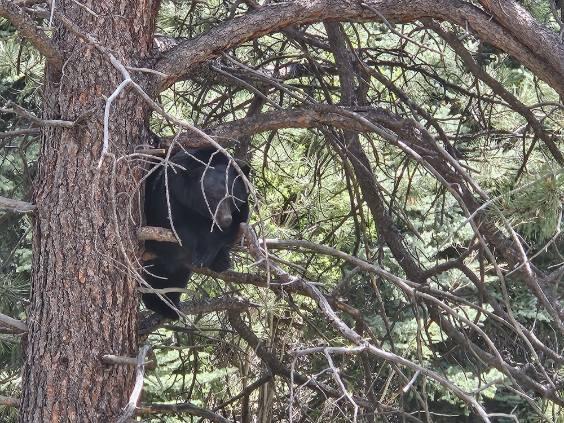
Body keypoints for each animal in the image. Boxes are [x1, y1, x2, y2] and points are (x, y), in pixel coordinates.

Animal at [143, 149, 249, 318]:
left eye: (231, 196)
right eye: (211, 197)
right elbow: (174, 225)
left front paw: (216, 257)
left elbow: (231, 231)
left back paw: (168, 305)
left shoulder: (241, 208)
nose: (225, 219)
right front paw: (199, 252)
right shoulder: (169, 193)